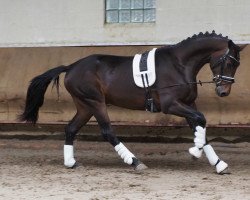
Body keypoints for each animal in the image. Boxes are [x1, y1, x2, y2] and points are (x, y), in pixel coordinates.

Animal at [19, 32, 246, 173]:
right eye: (228, 62)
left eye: (237, 65)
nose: (223, 92)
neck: (180, 64)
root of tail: (72, 66)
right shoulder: (171, 105)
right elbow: (201, 120)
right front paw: (194, 152)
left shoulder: (189, 104)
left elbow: (201, 125)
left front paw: (219, 164)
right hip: (96, 103)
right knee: (107, 132)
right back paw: (135, 162)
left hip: (85, 106)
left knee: (71, 129)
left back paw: (71, 163)